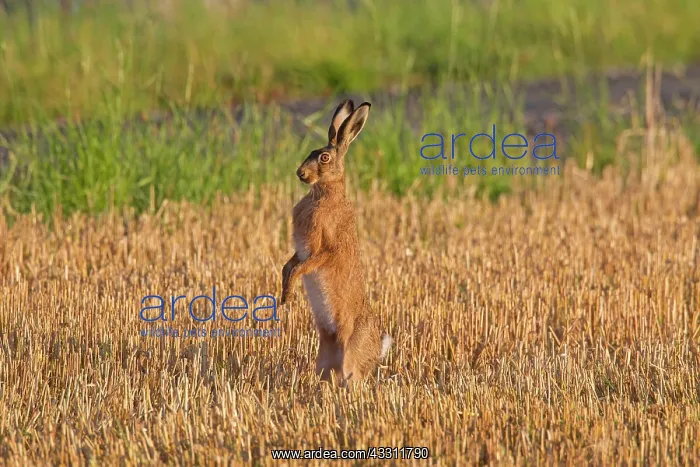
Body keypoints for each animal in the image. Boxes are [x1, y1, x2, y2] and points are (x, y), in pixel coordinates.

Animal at [280, 99, 392, 383]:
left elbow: (301, 268)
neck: (324, 193)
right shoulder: (300, 251)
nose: (300, 173)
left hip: (350, 354)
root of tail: (377, 351)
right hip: (324, 356)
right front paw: (283, 297)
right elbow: (288, 266)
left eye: (324, 158)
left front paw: (288, 295)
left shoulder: (324, 249)